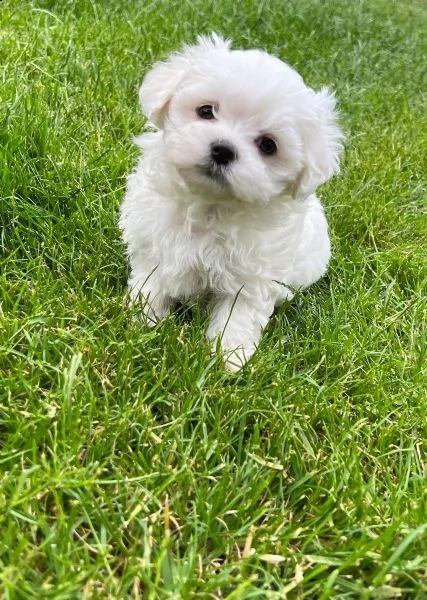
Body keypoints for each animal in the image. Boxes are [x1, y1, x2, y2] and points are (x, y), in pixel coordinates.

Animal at [121, 35, 344, 370]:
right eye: (205, 111)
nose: (223, 149)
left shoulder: (250, 278)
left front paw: (228, 358)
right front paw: (142, 322)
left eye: (268, 145)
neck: (210, 205)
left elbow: (238, 315)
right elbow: (151, 284)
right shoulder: (153, 243)